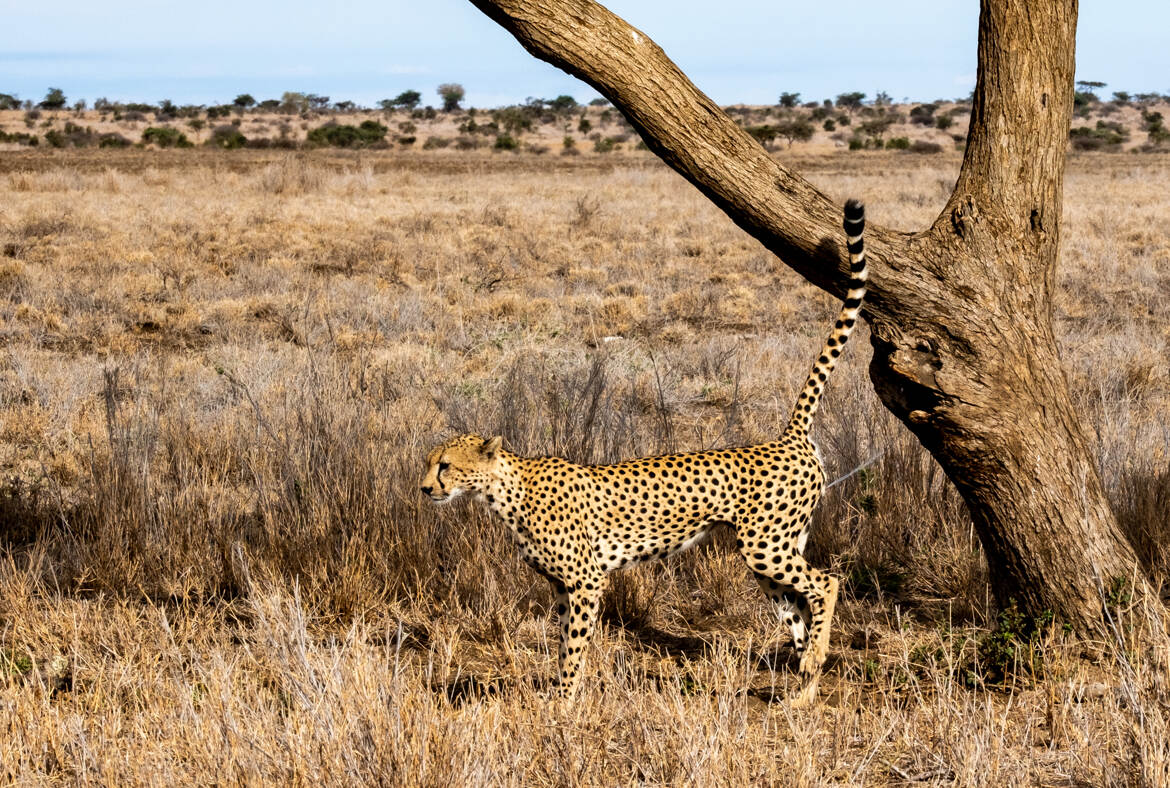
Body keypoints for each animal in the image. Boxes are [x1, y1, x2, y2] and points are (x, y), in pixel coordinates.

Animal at [423, 199, 870, 696]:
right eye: (430, 464)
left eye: (445, 466)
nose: (425, 489)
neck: (507, 490)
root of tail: (786, 437)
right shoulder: (561, 587)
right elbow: (563, 643)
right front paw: (560, 696)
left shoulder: (586, 580)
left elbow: (573, 649)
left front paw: (563, 702)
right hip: (773, 551)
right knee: (800, 609)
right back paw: (804, 687)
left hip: (765, 544)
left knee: (827, 581)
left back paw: (813, 661)